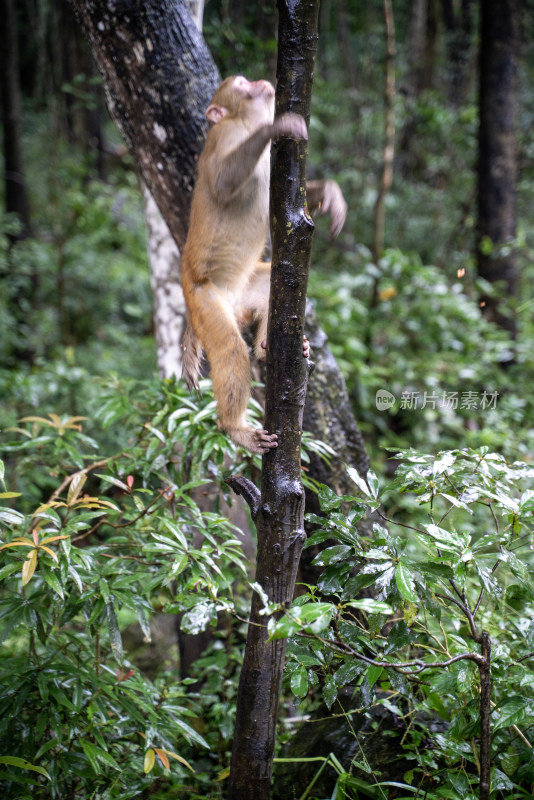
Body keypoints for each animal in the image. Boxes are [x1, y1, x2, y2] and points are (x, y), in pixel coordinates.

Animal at [182, 77, 350, 454]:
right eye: (240, 83)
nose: (257, 81)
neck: (244, 123)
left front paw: (329, 193)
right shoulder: (224, 135)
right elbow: (224, 181)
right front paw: (277, 126)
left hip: (244, 292)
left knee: (270, 296)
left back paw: (271, 348)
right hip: (204, 302)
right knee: (231, 349)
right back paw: (233, 427)